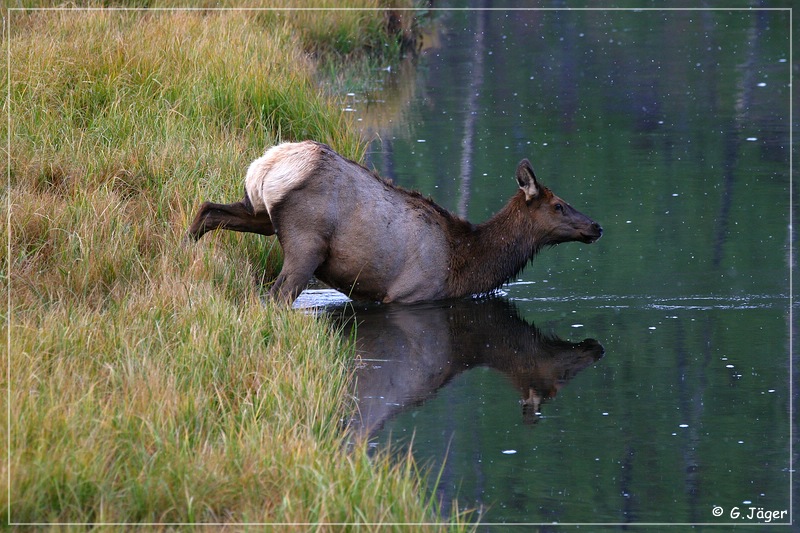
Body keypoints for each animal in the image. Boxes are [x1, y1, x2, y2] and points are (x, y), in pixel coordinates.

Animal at [188, 139, 600, 302]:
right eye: (559, 205)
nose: (596, 226)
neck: (464, 265)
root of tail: (267, 166)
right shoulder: (410, 294)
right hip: (306, 242)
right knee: (277, 294)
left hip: (258, 213)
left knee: (208, 209)